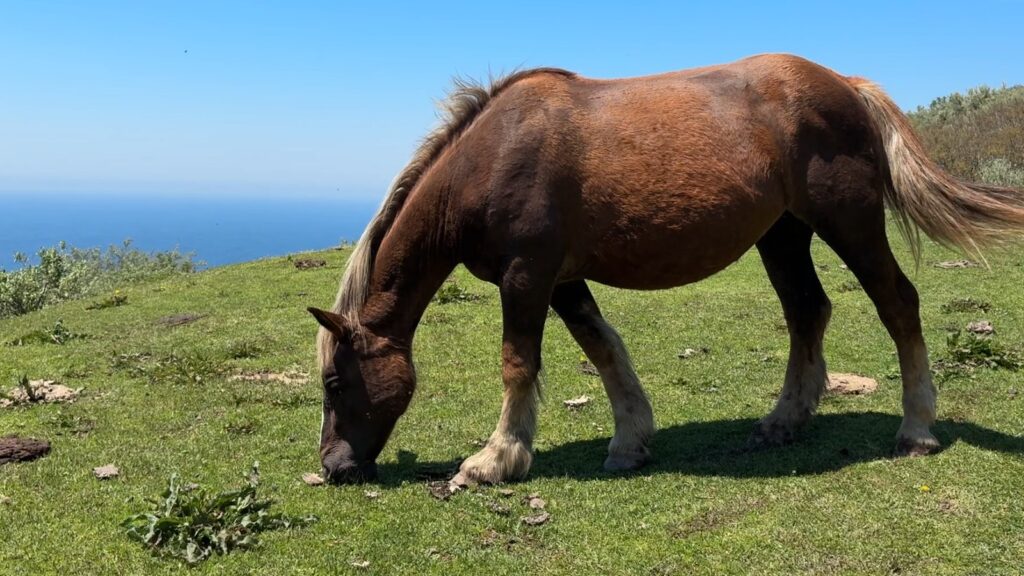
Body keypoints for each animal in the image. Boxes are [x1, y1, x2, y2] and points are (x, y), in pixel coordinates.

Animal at [309, 53, 1024, 485]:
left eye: (335, 384)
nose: (335, 466)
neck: (492, 155)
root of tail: (845, 84)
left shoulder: (527, 275)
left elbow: (519, 362)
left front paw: (496, 458)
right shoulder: (563, 279)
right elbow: (602, 348)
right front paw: (630, 440)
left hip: (849, 223)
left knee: (897, 302)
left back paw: (917, 428)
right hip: (783, 235)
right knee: (806, 311)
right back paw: (784, 420)